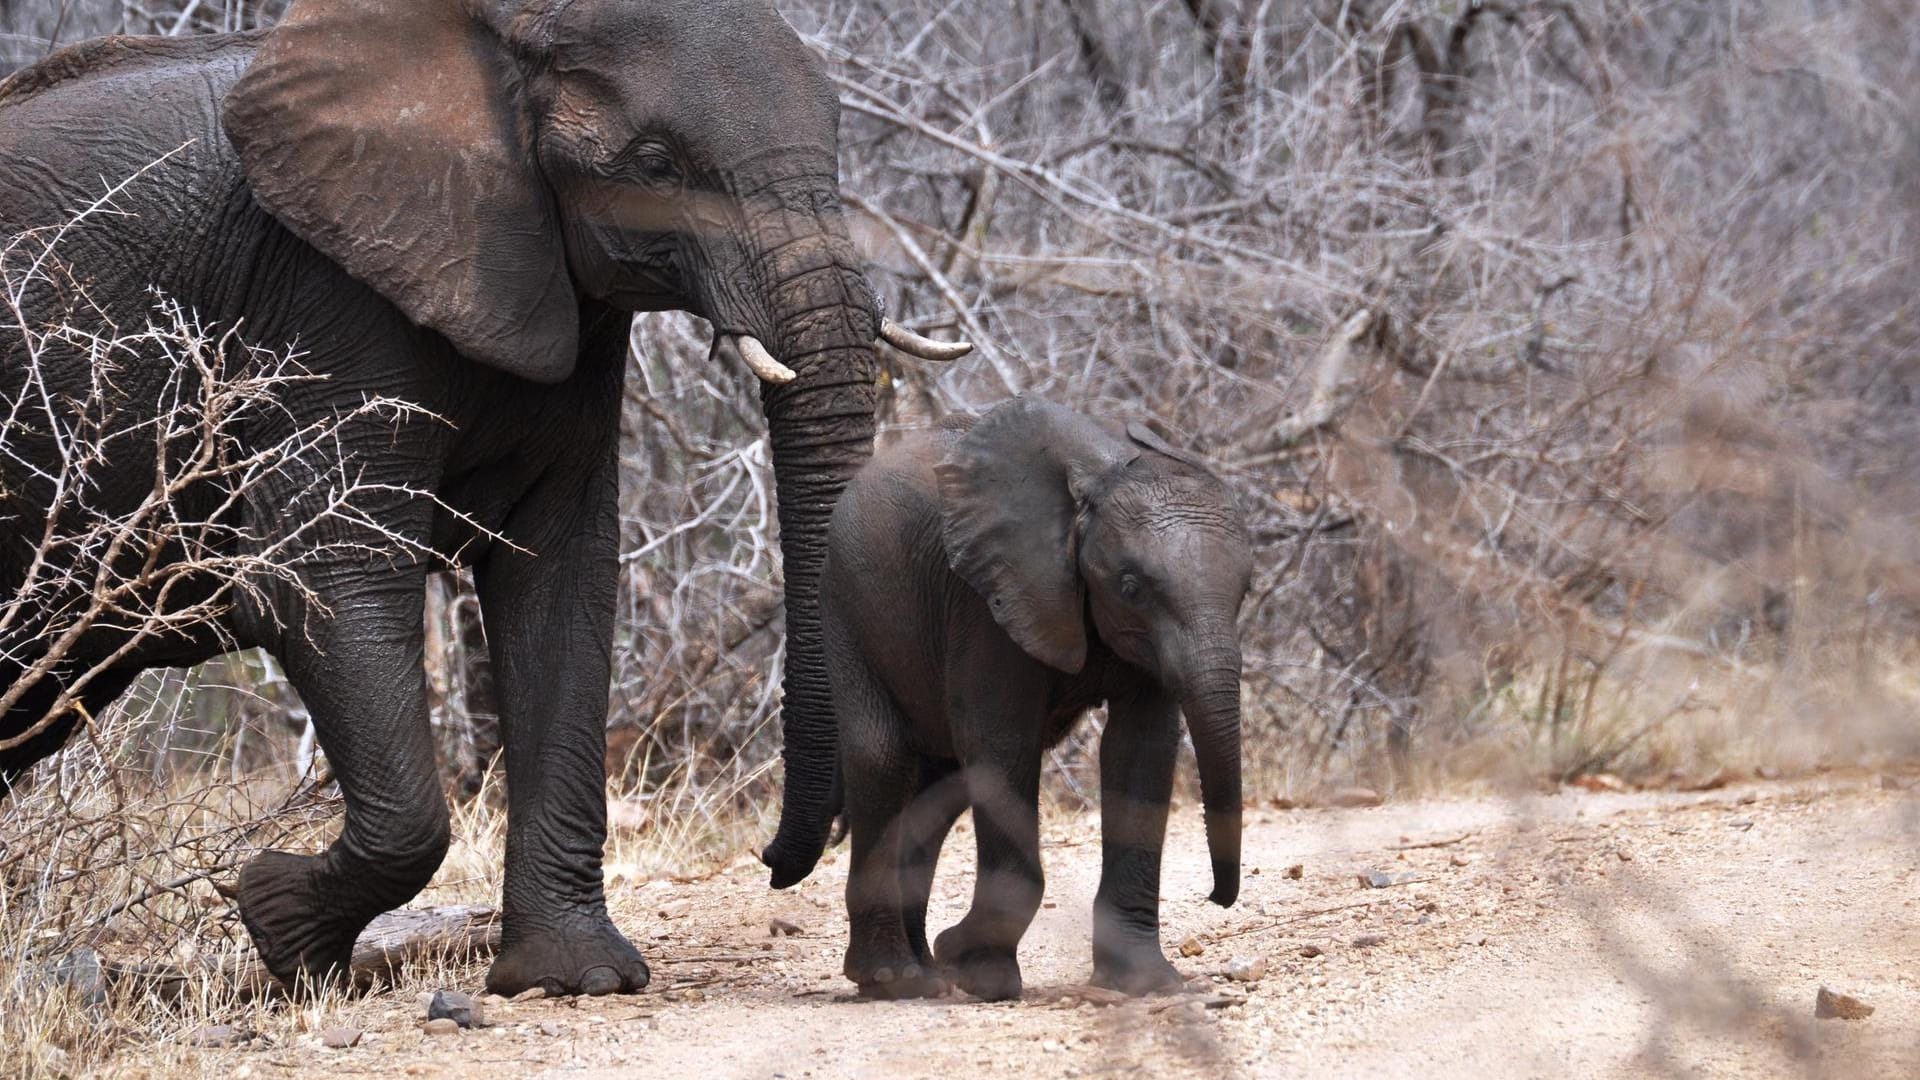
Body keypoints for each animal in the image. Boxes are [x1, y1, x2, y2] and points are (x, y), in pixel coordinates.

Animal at [0, 0, 967, 991]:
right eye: (657, 165)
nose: (773, 863)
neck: (497, 30)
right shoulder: (323, 301)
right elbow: (327, 580)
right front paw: (278, 924)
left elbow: (560, 583)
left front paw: (572, 977)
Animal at [806, 397, 1244, 999]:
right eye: (1130, 587)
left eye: (1244, 593)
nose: (1217, 897)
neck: (1100, 473)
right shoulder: (985, 596)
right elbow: (1001, 741)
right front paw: (977, 971)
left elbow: (1141, 747)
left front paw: (1146, 983)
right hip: (847, 598)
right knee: (883, 758)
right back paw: (894, 978)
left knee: (938, 782)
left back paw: (926, 973)